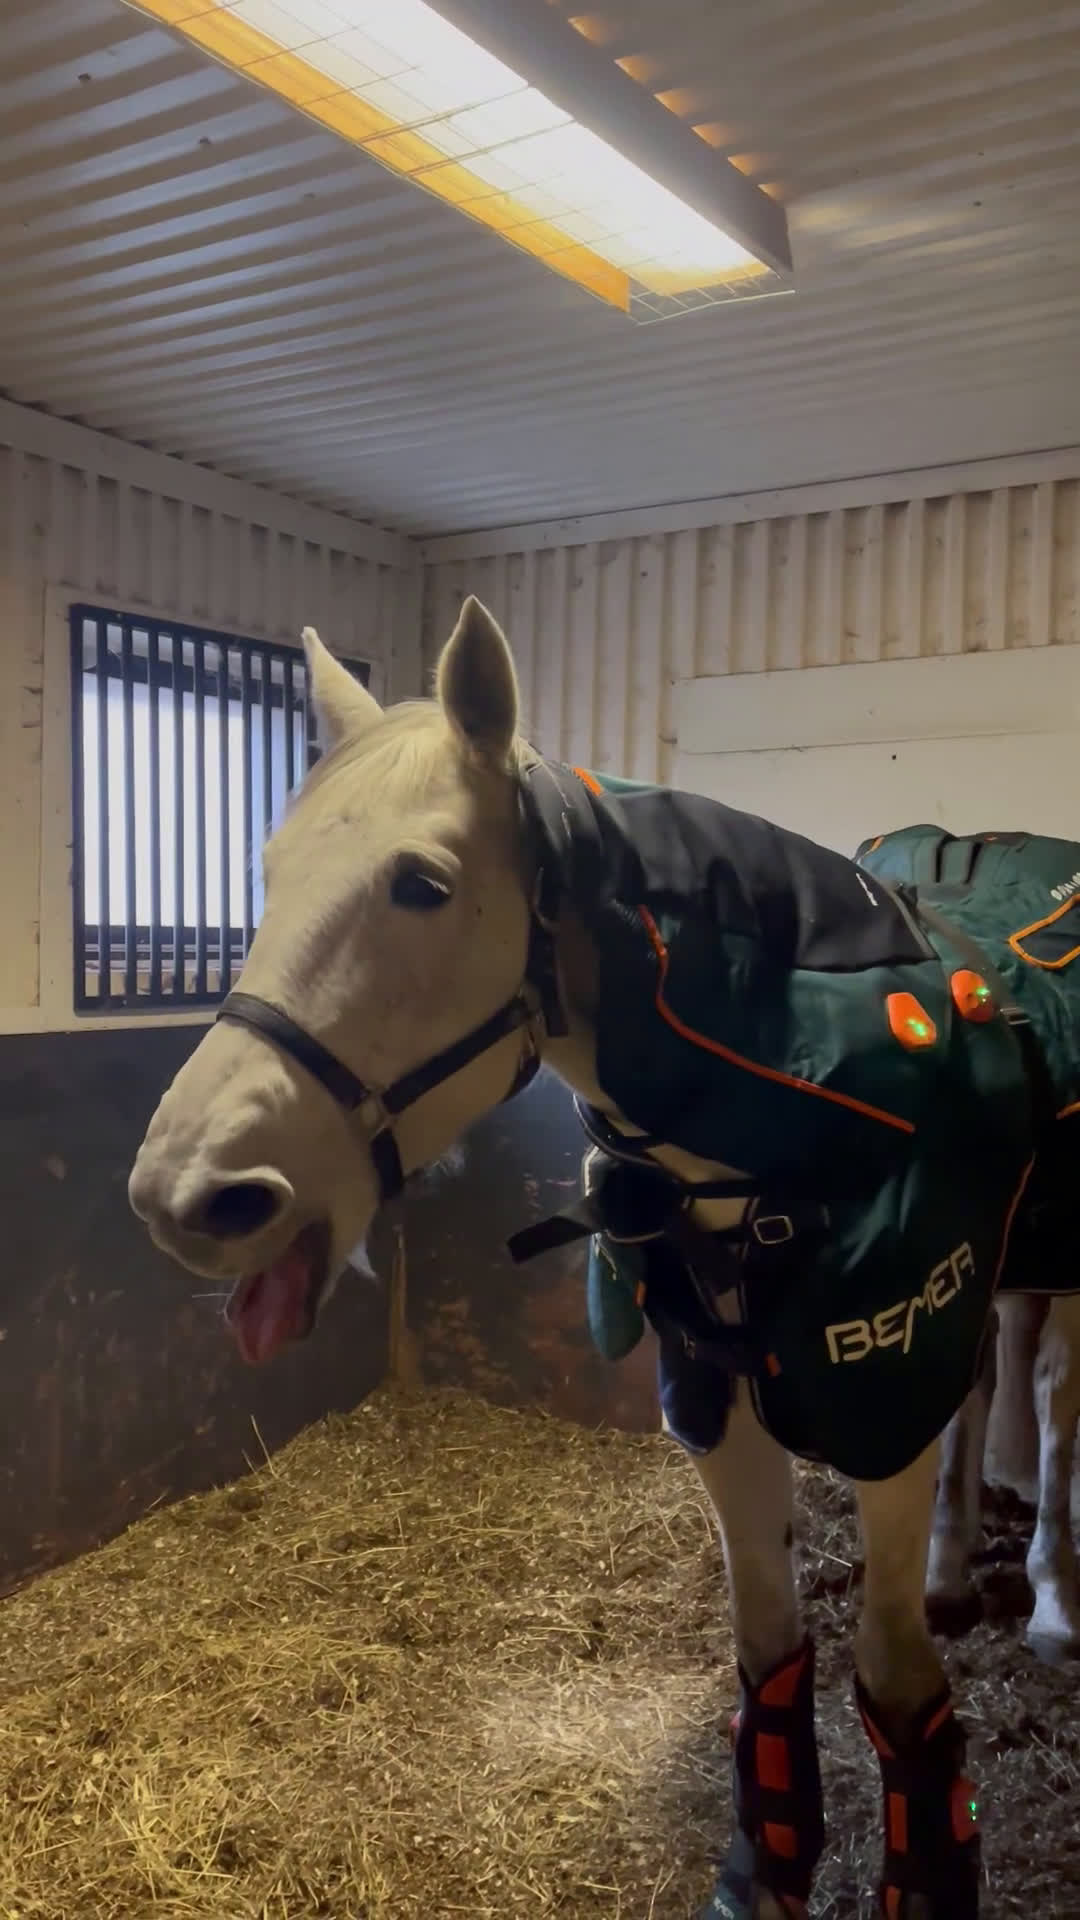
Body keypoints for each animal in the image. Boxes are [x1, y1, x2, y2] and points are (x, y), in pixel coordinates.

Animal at [128, 596, 1080, 1920]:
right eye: (267, 873)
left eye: (421, 884)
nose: (186, 1196)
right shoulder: (716, 1392)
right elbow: (769, 1649)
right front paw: (763, 1873)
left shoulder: (879, 1373)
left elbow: (896, 1682)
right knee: (989, 1379)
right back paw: (957, 1570)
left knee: (1048, 1396)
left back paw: (1053, 1602)